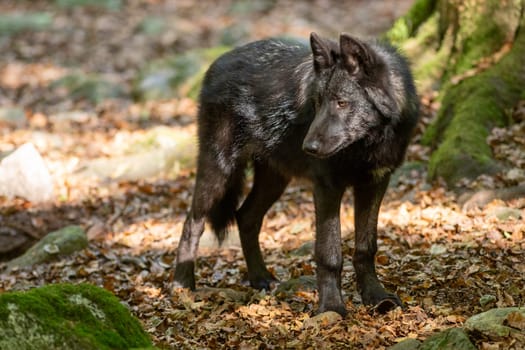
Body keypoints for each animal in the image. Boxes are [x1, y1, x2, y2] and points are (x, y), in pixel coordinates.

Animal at [172, 33, 418, 318]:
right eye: (317, 103)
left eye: (341, 103)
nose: (308, 148)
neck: (367, 145)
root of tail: (217, 63)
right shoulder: (326, 187)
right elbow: (329, 253)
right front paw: (331, 307)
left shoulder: (375, 184)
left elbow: (366, 247)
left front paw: (377, 297)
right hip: (220, 172)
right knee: (192, 222)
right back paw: (182, 285)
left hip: (275, 181)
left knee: (245, 217)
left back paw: (260, 278)